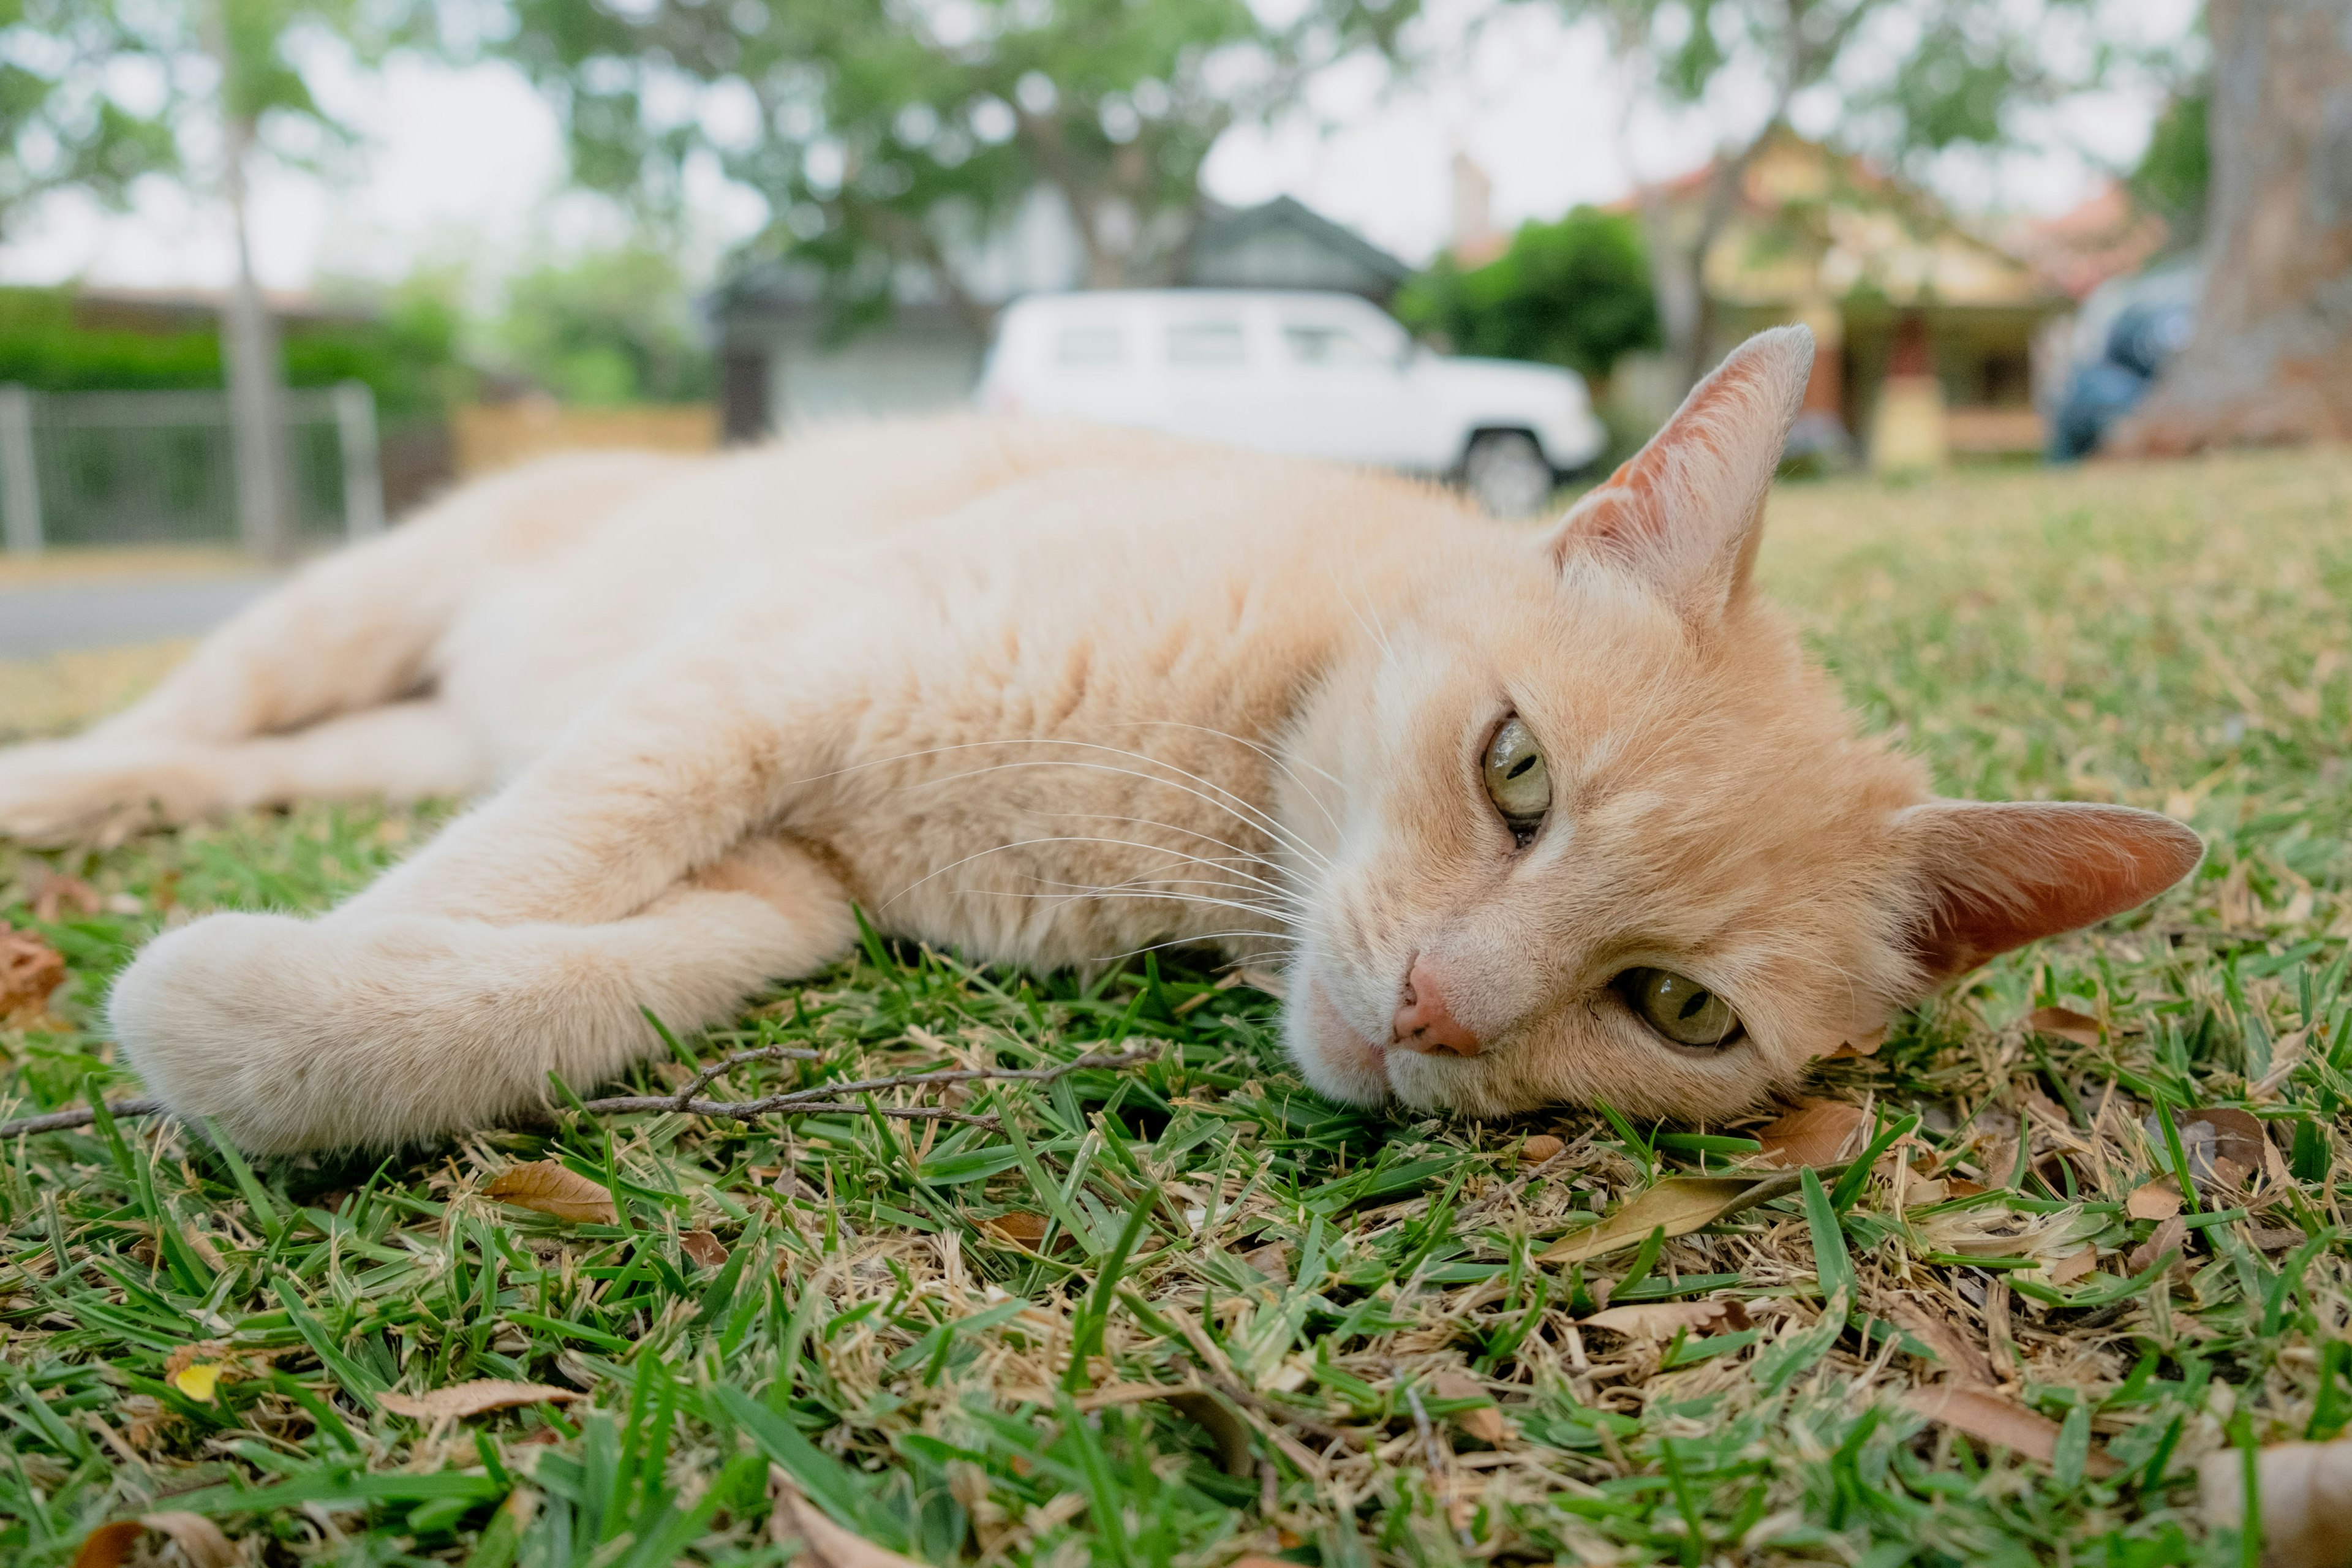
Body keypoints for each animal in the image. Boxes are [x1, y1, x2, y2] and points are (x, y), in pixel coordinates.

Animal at [0, 329, 2201, 1152]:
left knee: (263, 766)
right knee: (204, 709)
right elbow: (530, 867)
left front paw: (281, 1017)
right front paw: (311, 971)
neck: (1220, 780)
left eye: (1678, 1013)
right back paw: (47, 784)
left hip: (390, 731)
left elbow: (548, 987)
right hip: (368, 605)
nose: (1438, 1008)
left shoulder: (789, 890)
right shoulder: (764, 680)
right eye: (1517, 773)